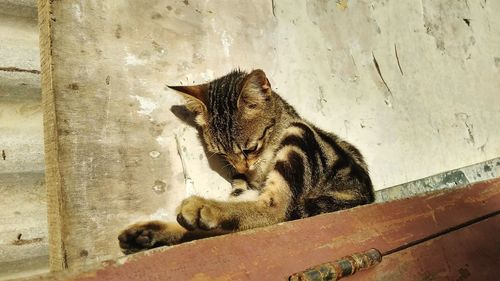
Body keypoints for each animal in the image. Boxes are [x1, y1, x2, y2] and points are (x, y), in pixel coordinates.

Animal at [118, 69, 376, 253]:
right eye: (221, 154)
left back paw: (203, 207)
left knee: (275, 211)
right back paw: (149, 233)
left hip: (300, 135)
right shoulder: (242, 184)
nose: (241, 167)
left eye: (250, 148)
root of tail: (365, 196)